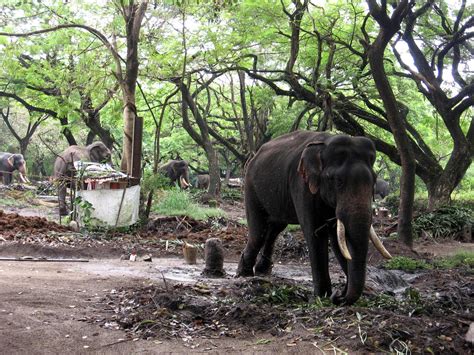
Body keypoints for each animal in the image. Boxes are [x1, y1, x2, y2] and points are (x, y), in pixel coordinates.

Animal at [235, 131, 390, 306]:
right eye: (338, 181)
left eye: (374, 181)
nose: (339, 294)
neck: (324, 144)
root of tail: (255, 155)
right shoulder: (301, 185)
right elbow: (314, 233)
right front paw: (322, 296)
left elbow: (337, 238)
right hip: (250, 186)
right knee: (258, 231)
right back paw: (244, 274)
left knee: (275, 228)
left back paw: (262, 271)